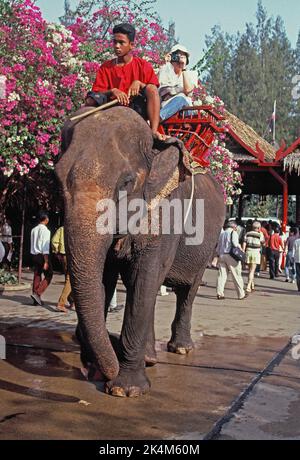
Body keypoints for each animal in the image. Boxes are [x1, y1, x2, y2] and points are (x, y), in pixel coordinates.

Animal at [55, 106, 225, 398]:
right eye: (57, 177)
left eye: (126, 183)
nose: (91, 370)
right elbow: (106, 279)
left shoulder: (166, 213)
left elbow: (144, 277)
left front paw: (126, 390)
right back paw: (149, 357)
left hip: (209, 245)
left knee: (186, 291)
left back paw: (181, 349)